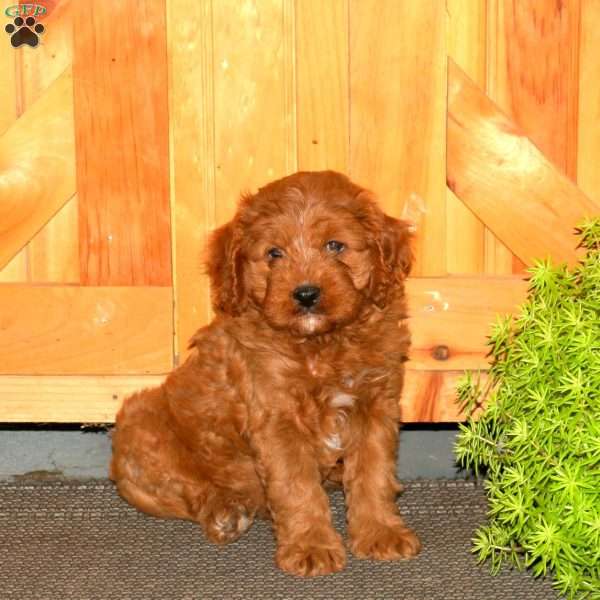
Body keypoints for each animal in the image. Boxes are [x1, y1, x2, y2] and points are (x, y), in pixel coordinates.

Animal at [111, 170, 422, 576]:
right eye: (274, 253)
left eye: (335, 246)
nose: (305, 294)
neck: (321, 345)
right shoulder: (276, 418)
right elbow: (296, 485)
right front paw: (311, 546)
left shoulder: (375, 405)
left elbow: (374, 474)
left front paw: (381, 533)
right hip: (141, 426)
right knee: (192, 489)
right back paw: (225, 513)